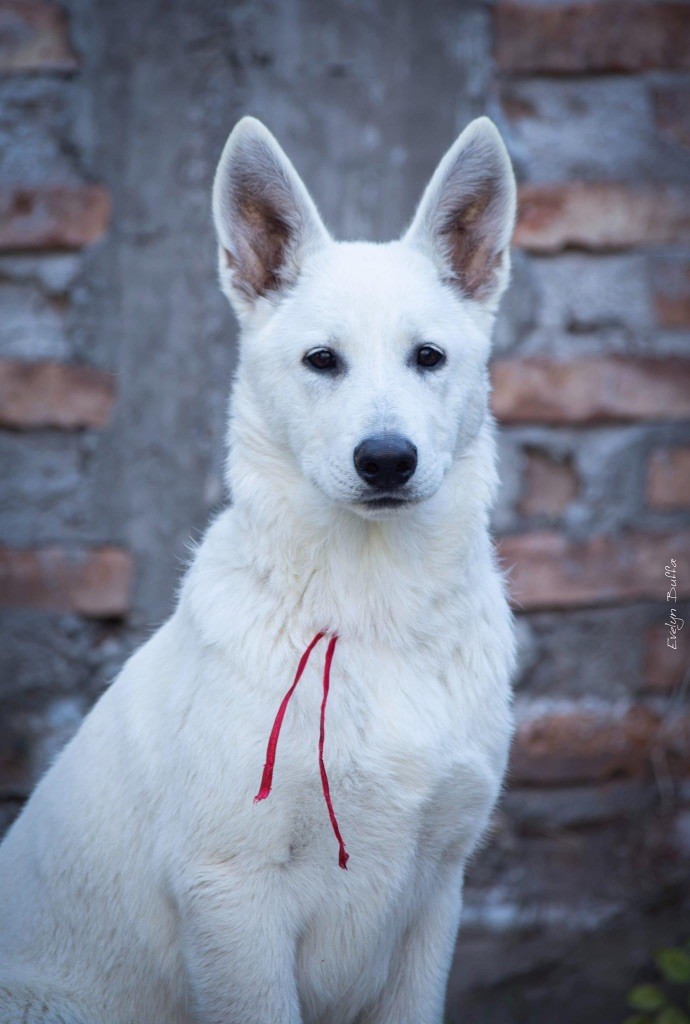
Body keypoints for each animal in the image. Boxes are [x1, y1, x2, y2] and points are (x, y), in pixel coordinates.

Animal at [0, 115, 517, 1024]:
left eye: (428, 356)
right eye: (321, 360)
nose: (388, 460)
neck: (370, 607)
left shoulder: (436, 896)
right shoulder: (232, 894)